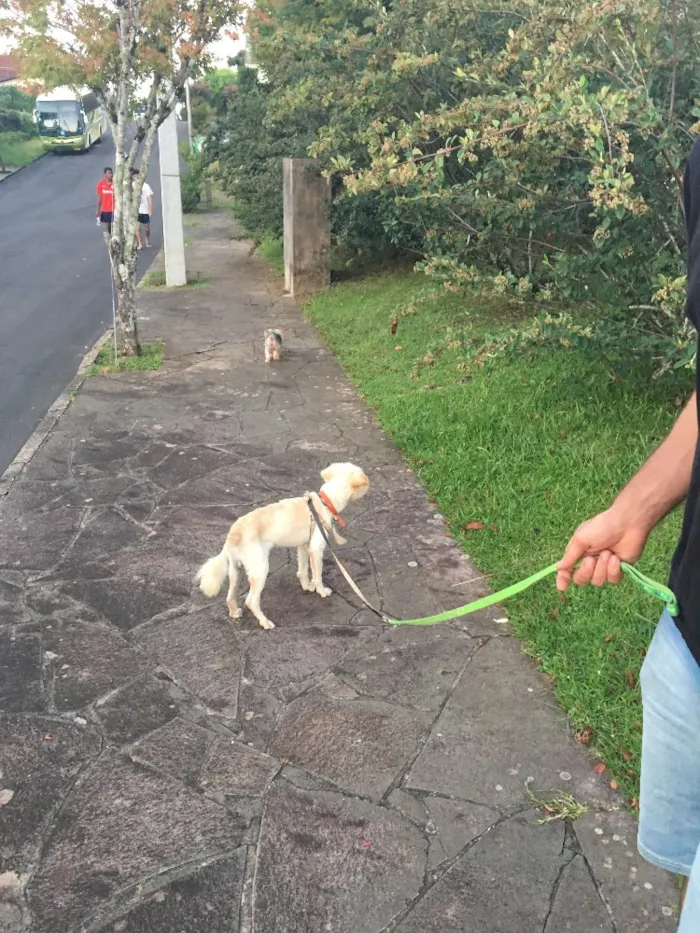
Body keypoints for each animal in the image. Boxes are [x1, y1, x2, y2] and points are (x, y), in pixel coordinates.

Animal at [194, 462, 370, 628]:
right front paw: (321, 590)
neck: (324, 502)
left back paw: (235, 612)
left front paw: (307, 586)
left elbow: (303, 570)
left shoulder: (303, 546)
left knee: (230, 596)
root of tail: (234, 533)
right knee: (251, 601)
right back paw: (265, 622)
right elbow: (317, 574)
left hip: (235, 571)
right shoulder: (315, 548)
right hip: (260, 569)